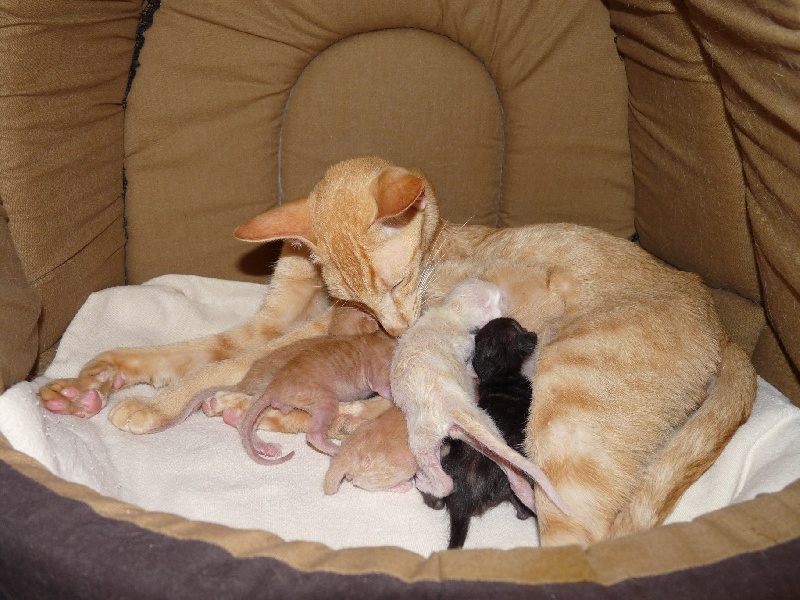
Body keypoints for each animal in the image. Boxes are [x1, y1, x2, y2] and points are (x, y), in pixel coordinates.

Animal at [418, 318, 536, 548]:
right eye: (520, 328)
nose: (533, 333)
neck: (500, 376)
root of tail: (461, 503)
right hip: (508, 484)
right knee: (522, 510)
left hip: (446, 467)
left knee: (437, 499)